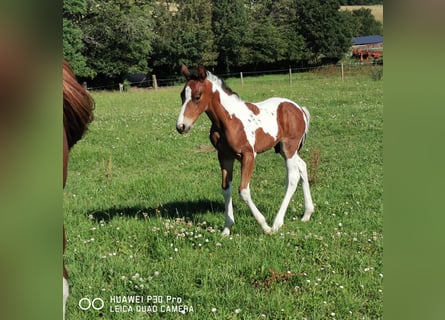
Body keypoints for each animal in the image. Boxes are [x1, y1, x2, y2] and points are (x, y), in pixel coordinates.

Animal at [175, 65, 314, 235]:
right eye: (182, 95)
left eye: (197, 96)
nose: (181, 126)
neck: (229, 121)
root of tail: (299, 108)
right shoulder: (224, 156)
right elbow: (226, 189)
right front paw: (226, 229)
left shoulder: (248, 155)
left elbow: (243, 190)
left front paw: (265, 226)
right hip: (283, 148)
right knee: (302, 167)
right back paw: (307, 213)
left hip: (289, 148)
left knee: (293, 178)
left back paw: (276, 223)